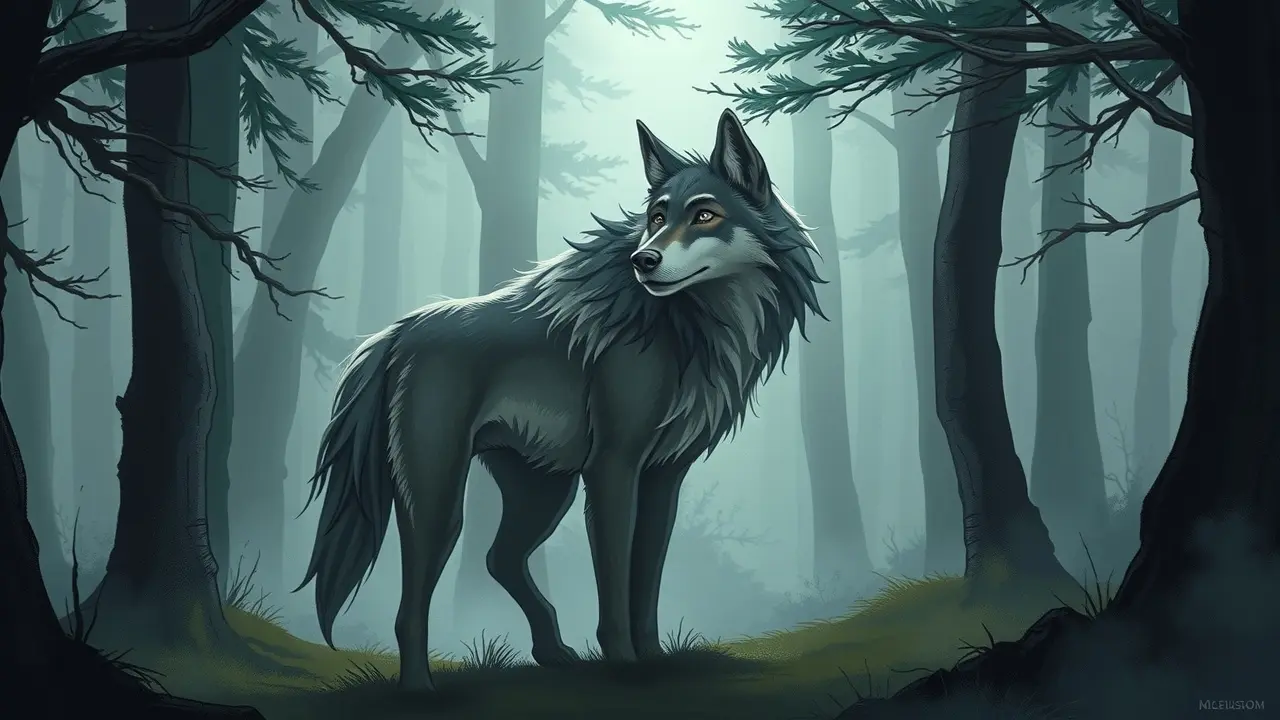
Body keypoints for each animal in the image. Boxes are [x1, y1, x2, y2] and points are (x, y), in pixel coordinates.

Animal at [297, 108, 824, 691]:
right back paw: (419, 690)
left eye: (705, 215)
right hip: (440, 498)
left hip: (544, 493)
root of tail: (395, 334)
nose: (643, 260)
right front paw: (623, 666)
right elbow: (614, 579)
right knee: (412, 601)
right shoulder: (613, 467)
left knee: (499, 560)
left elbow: (646, 582)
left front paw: (654, 663)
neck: (691, 327)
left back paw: (551, 652)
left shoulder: (664, 477)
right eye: (657, 216)